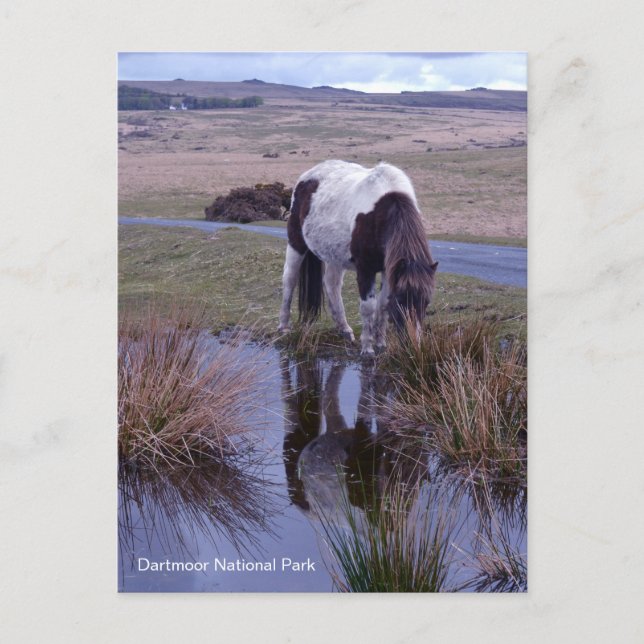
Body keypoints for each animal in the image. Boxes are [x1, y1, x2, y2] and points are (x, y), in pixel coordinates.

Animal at [278, 160, 438, 355]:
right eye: (401, 300)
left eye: (426, 302)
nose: (413, 344)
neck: (381, 211)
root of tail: (307, 176)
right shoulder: (365, 269)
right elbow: (368, 307)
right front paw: (367, 348)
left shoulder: (389, 269)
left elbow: (383, 304)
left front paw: (380, 343)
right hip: (296, 243)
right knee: (290, 279)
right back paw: (284, 327)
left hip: (334, 256)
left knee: (331, 284)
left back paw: (344, 329)